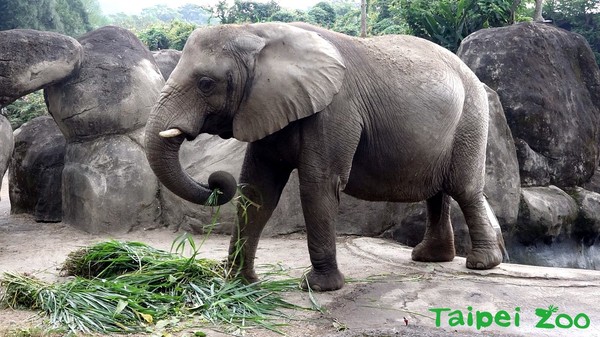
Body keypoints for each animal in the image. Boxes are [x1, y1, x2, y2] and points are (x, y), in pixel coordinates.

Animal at [146, 22, 506, 290]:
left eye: (206, 83)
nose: (216, 180)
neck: (260, 34)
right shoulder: (266, 106)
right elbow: (258, 190)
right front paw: (237, 283)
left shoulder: (335, 109)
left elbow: (318, 185)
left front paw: (319, 287)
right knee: (438, 191)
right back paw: (430, 257)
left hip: (471, 117)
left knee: (464, 189)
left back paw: (482, 263)